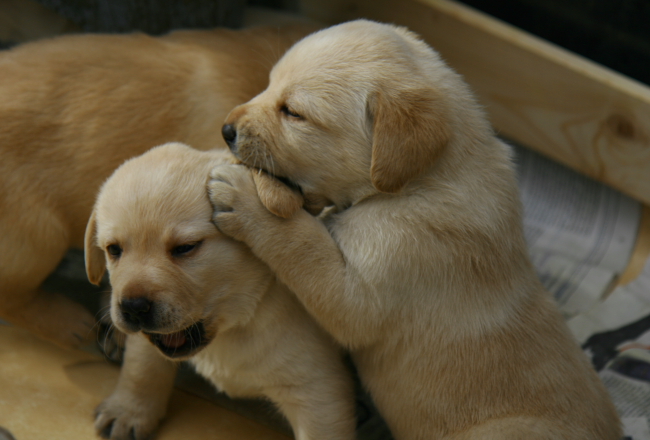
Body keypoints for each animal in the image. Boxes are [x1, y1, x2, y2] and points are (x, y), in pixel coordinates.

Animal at [85, 144, 354, 440]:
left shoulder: (318, 390)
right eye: (114, 249)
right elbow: (142, 365)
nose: (133, 307)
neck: (241, 318)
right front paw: (128, 410)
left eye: (185, 247)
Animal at [206, 19, 616, 440]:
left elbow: (304, 248)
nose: (225, 129)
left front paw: (245, 198)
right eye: (269, 84)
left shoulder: (367, 289)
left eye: (293, 113)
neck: (421, 182)